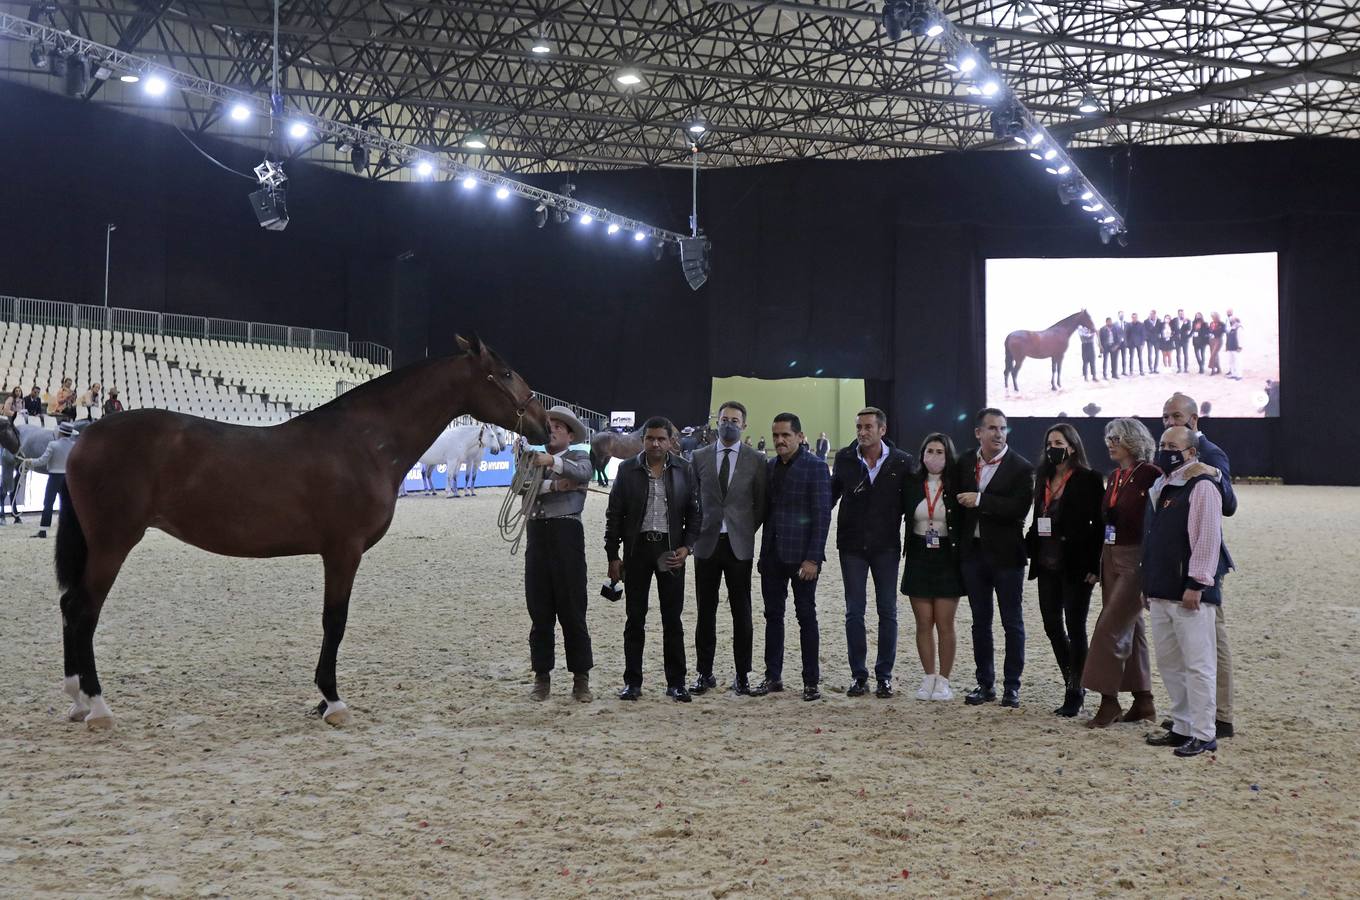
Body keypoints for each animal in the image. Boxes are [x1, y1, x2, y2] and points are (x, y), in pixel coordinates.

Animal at [54, 334, 546, 728]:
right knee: (84, 610)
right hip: (113, 544)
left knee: (69, 606)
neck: (363, 442)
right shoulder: (344, 550)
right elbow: (335, 622)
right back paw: (98, 707)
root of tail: (85, 437)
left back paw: (77, 700)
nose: (543, 424)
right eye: (505, 373)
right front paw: (332, 701)